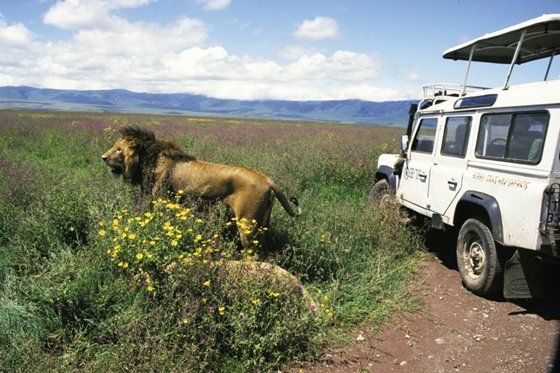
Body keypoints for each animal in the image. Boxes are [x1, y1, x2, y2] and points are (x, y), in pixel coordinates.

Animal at [100, 125, 302, 247]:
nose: (103, 157)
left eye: (118, 149)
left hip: (247, 222)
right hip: (262, 223)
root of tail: (267, 179)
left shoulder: (160, 200)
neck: (146, 160)